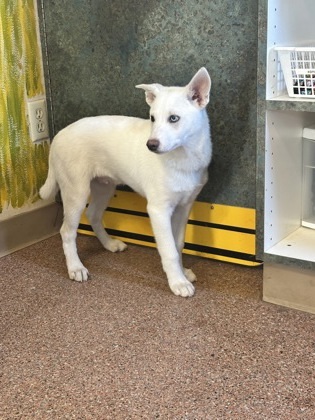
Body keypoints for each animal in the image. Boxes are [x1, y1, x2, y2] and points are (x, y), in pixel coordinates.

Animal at [39, 67, 212, 296]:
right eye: (152, 118)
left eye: (174, 118)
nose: (151, 145)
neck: (183, 157)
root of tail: (58, 135)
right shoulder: (158, 210)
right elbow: (169, 250)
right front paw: (178, 282)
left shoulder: (184, 207)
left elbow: (178, 244)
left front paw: (183, 273)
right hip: (76, 191)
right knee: (67, 231)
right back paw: (76, 268)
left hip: (104, 186)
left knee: (93, 214)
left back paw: (109, 244)